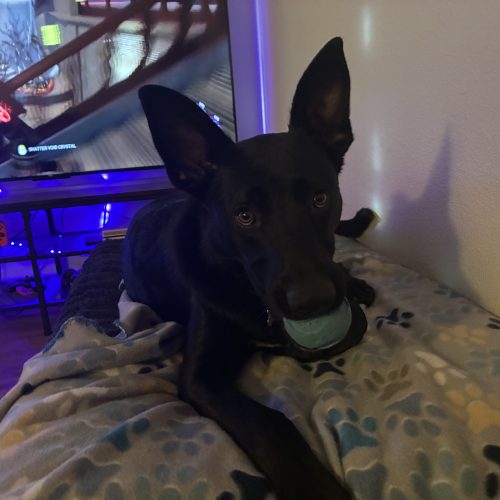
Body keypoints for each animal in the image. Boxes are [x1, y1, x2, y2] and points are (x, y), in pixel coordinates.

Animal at [122, 37, 375, 500]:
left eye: (320, 198)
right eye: (244, 216)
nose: (314, 301)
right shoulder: (200, 376)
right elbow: (266, 420)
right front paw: (313, 484)